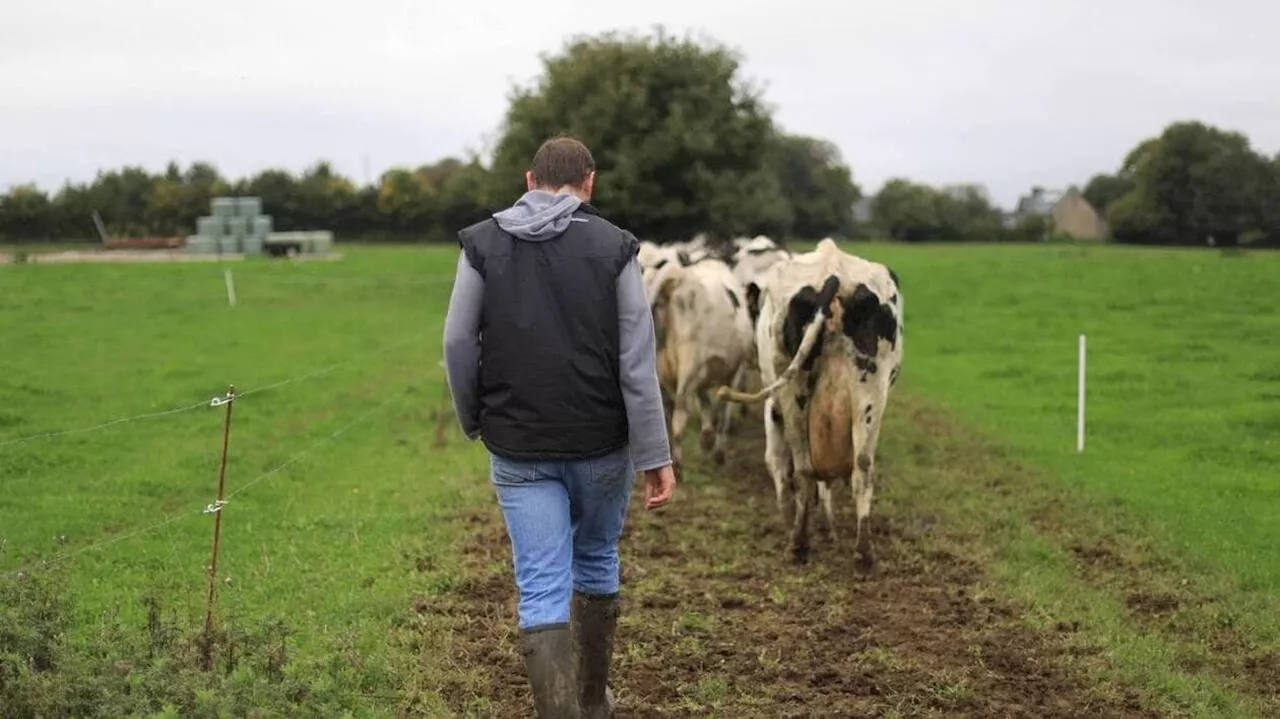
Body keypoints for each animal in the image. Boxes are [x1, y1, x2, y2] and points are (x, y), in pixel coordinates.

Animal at [645, 254, 752, 473]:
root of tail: (676, 278)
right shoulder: (732, 372)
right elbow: (722, 411)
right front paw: (716, 450)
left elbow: (706, 404)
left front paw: (707, 438)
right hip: (688, 368)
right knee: (679, 418)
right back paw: (678, 467)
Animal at [716, 237, 906, 568]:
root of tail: (834, 273)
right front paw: (828, 526)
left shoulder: (773, 407)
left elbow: (778, 463)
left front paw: (790, 516)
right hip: (872, 390)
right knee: (863, 467)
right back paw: (863, 552)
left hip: (792, 393)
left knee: (803, 468)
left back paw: (798, 544)